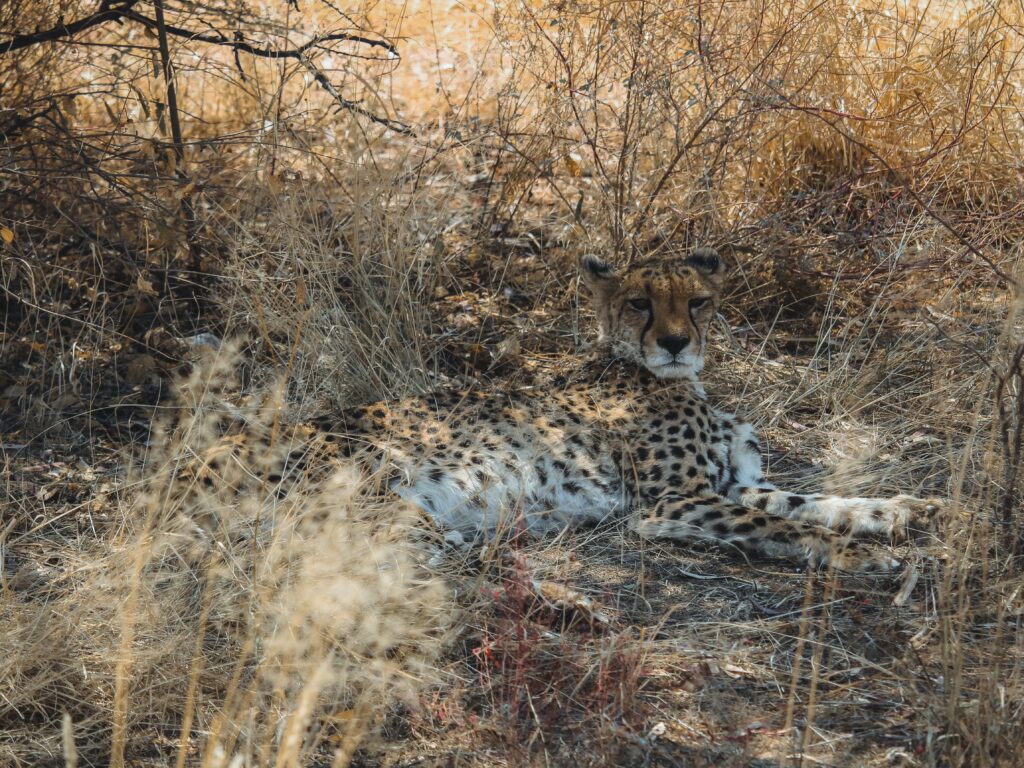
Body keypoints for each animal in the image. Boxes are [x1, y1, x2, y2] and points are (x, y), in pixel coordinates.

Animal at [304, 246, 941, 572]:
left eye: (698, 302)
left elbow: (809, 501)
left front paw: (903, 508)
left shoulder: (728, 483)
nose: (676, 342)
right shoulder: (676, 495)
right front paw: (856, 553)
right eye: (639, 303)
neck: (673, 379)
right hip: (381, 493)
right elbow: (778, 521)